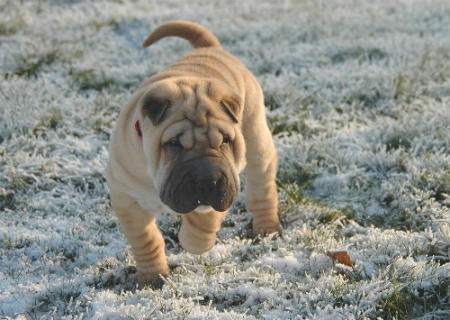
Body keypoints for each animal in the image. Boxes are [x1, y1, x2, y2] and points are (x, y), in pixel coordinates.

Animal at [107, 19, 280, 284]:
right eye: (173, 143)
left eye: (225, 141)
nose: (207, 179)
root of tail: (211, 48)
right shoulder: (127, 199)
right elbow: (146, 239)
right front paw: (152, 276)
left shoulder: (226, 183)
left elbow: (204, 219)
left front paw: (192, 242)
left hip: (257, 142)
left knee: (262, 189)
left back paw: (267, 228)